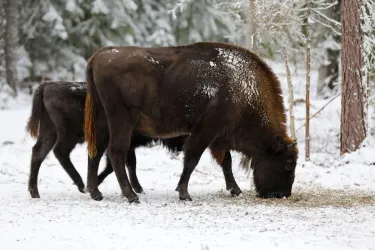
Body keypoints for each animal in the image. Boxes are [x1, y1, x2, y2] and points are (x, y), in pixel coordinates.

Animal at [26, 81, 239, 199]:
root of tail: (47, 86)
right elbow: (119, 164)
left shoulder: (129, 146)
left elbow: (126, 164)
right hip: (67, 134)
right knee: (59, 152)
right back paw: (79, 184)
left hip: (50, 131)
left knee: (39, 152)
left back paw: (36, 192)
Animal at [83, 42, 298, 204]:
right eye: (288, 164)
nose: (282, 194)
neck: (244, 91)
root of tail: (98, 56)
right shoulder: (206, 131)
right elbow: (193, 158)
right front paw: (184, 194)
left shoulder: (218, 138)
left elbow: (225, 162)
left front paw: (235, 190)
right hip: (122, 120)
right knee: (116, 152)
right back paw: (131, 195)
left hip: (102, 121)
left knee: (96, 151)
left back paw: (95, 193)